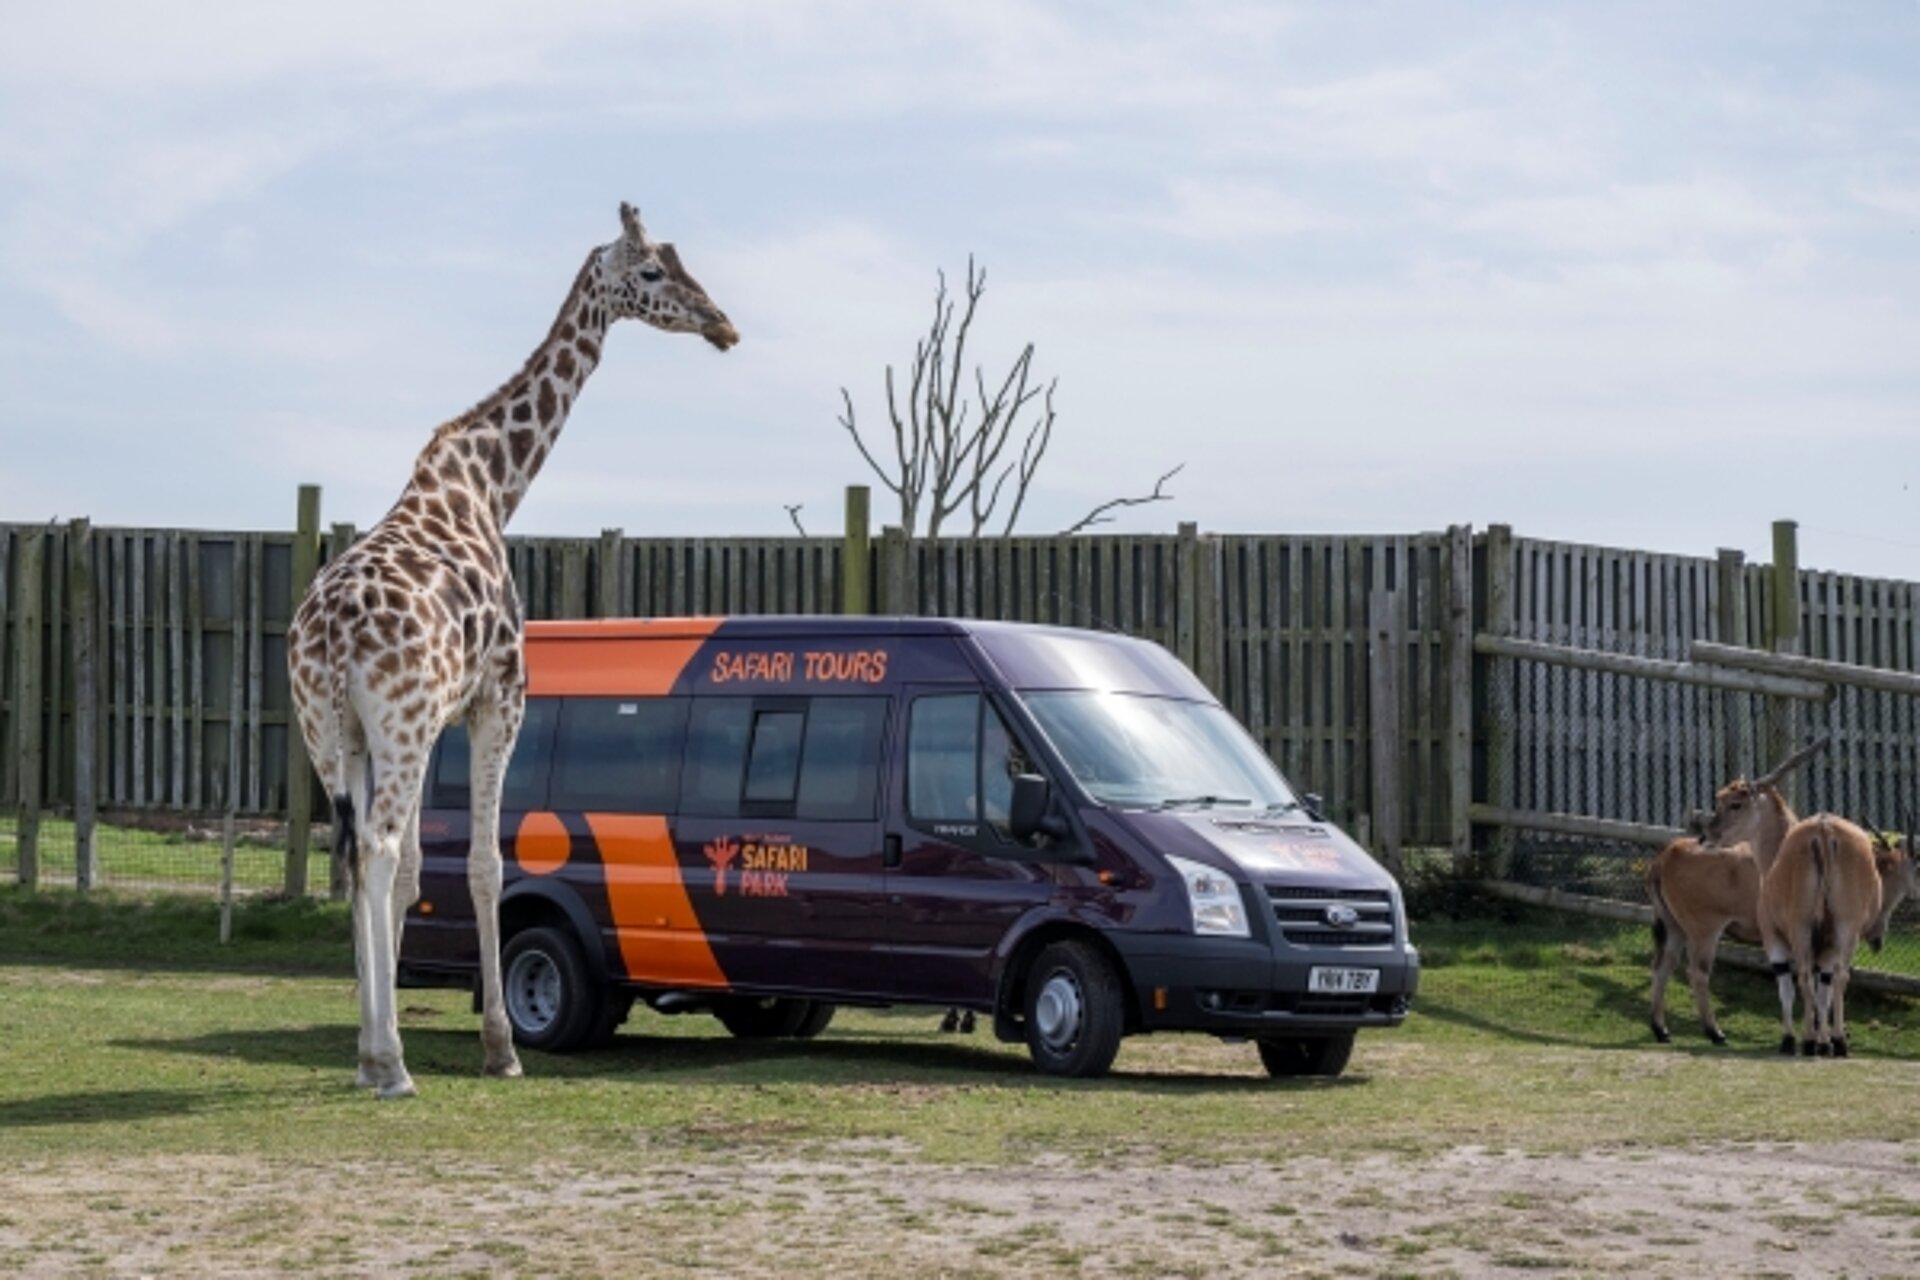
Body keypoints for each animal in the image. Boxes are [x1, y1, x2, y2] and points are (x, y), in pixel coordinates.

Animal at [288, 203, 737, 1098]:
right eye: (653, 272)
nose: (722, 323)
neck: (494, 485)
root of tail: (331, 632)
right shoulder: (499, 698)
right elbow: (483, 866)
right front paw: (499, 1048)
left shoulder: (423, 720)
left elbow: (419, 869)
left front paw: (369, 1042)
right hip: (397, 724)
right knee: (376, 849)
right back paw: (394, 1067)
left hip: (329, 730)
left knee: (357, 855)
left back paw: (376, 1056)